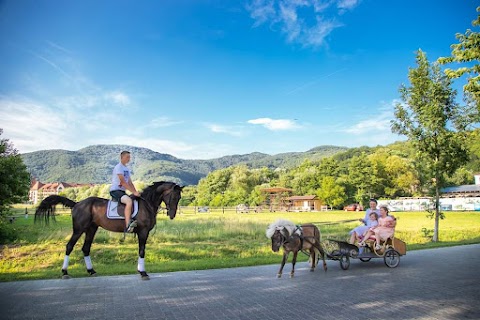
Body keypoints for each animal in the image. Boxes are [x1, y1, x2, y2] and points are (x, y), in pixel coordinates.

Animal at [34, 182, 183, 280]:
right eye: (173, 197)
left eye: (179, 198)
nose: (172, 215)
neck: (147, 204)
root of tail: (77, 204)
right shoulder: (143, 232)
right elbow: (142, 251)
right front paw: (143, 272)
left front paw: (140, 271)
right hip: (79, 229)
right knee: (69, 246)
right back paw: (65, 272)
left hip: (91, 229)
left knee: (86, 248)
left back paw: (91, 271)